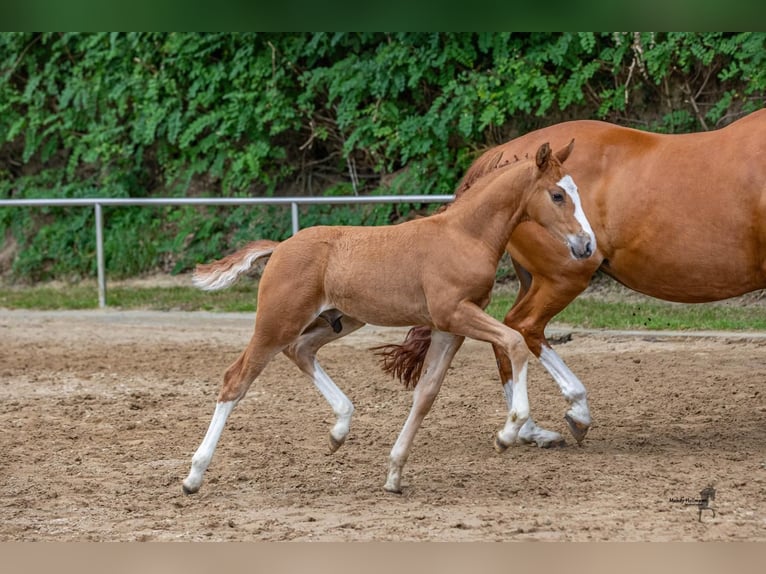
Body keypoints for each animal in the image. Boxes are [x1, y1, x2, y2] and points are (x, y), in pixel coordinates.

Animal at [183, 143, 596, 496]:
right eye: (557, 195)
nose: (587, 245)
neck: (465, 235)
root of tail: (281, 247)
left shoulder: (449, 328)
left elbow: (426, 394)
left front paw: (395, 473)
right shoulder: (455, 312)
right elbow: (514, 341)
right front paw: (507, 434)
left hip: (340, 319)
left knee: (301, 350)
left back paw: (339, 429)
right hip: (276, 322)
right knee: (236, 379)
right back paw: (193, 476)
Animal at [378, 107, 766, 450]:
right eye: (558, 195)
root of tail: (501, 155)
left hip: (534, 280)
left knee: (506, 334)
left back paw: (530, 431)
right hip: (563, 278)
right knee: (524, 326)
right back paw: (573, 413)